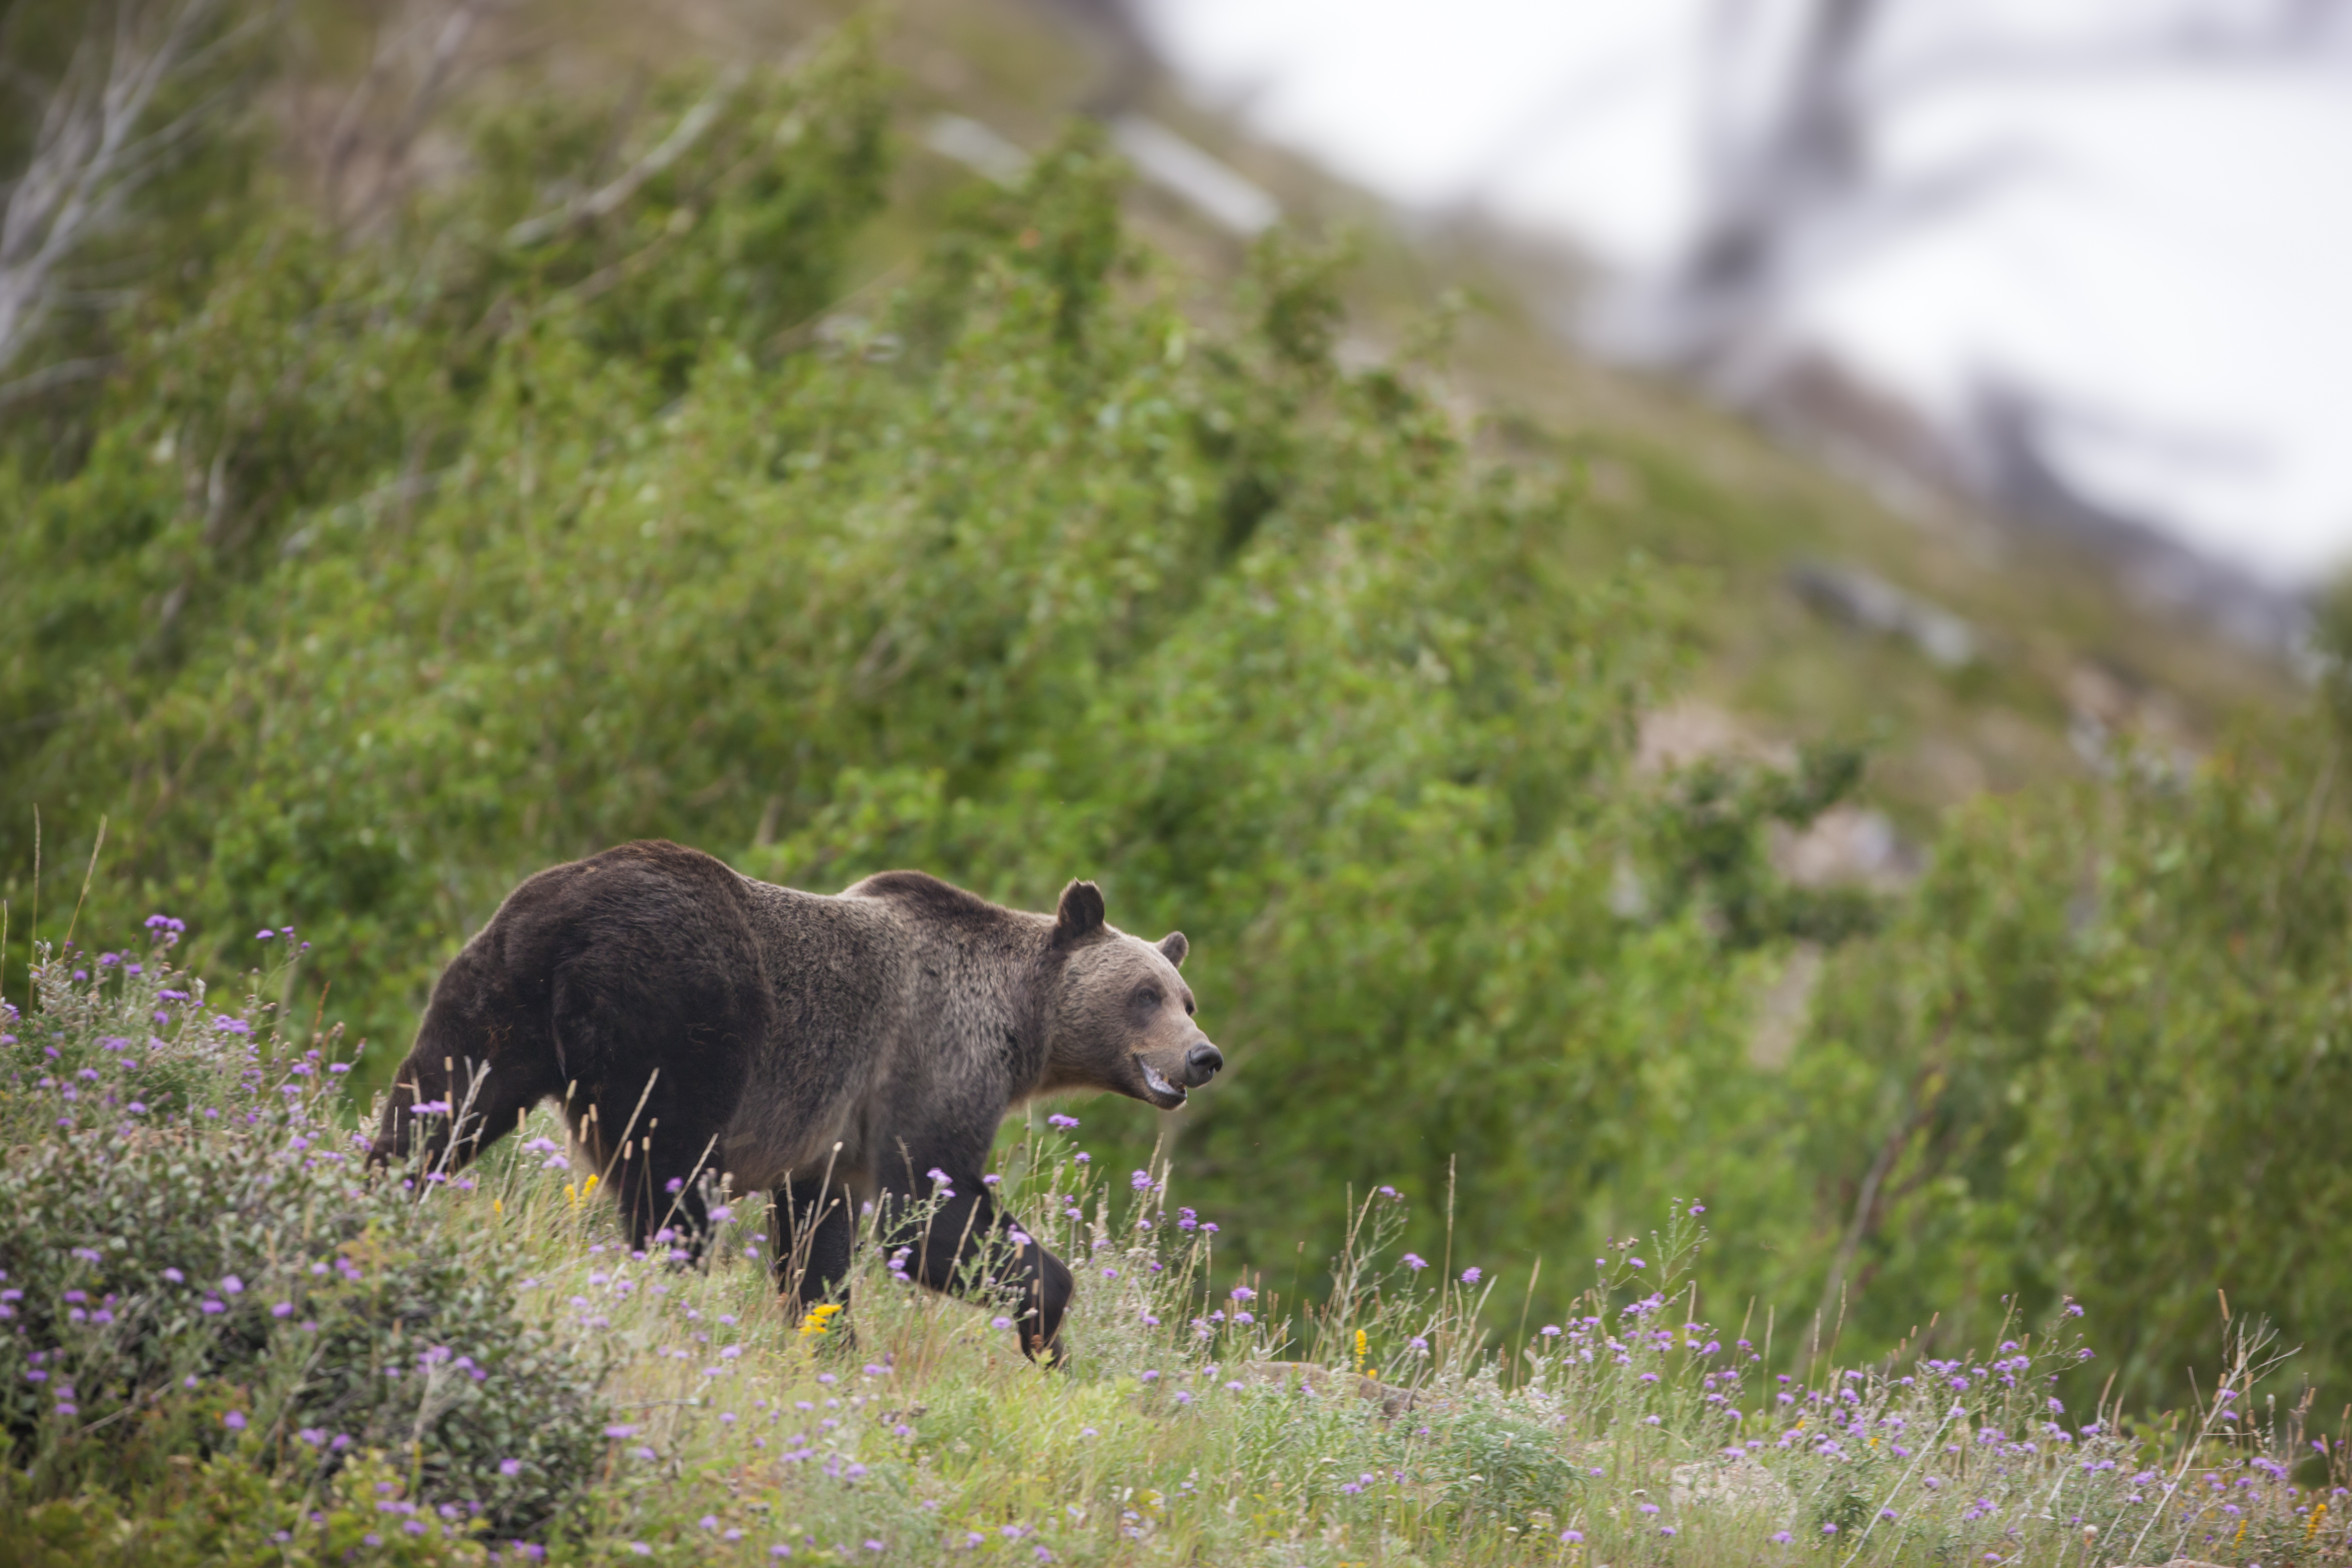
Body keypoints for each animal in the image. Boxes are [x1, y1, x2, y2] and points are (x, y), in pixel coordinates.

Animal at [367, 839, 1222, 1363]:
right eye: (1145, 994)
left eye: (1186, 996)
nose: (1204, 1056)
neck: (1022, 1028)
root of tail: (563, 920)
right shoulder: (932, 1058)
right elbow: (928, 1209)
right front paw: (1046, 1325)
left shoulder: (828, 1143)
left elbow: (820, 1248)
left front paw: (831, 1339)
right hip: (683, 1021)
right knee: (672, 1183)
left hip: (495, 1001)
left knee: (436, 1109)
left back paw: (379, 1192)